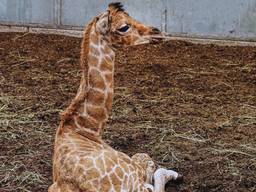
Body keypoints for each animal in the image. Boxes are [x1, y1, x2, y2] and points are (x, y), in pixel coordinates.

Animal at [49, 3, 181, 192]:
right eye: (124, 27)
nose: (157, 33)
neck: (86, 128)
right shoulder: (135, 171)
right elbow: (147, 160)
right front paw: (171, 173)